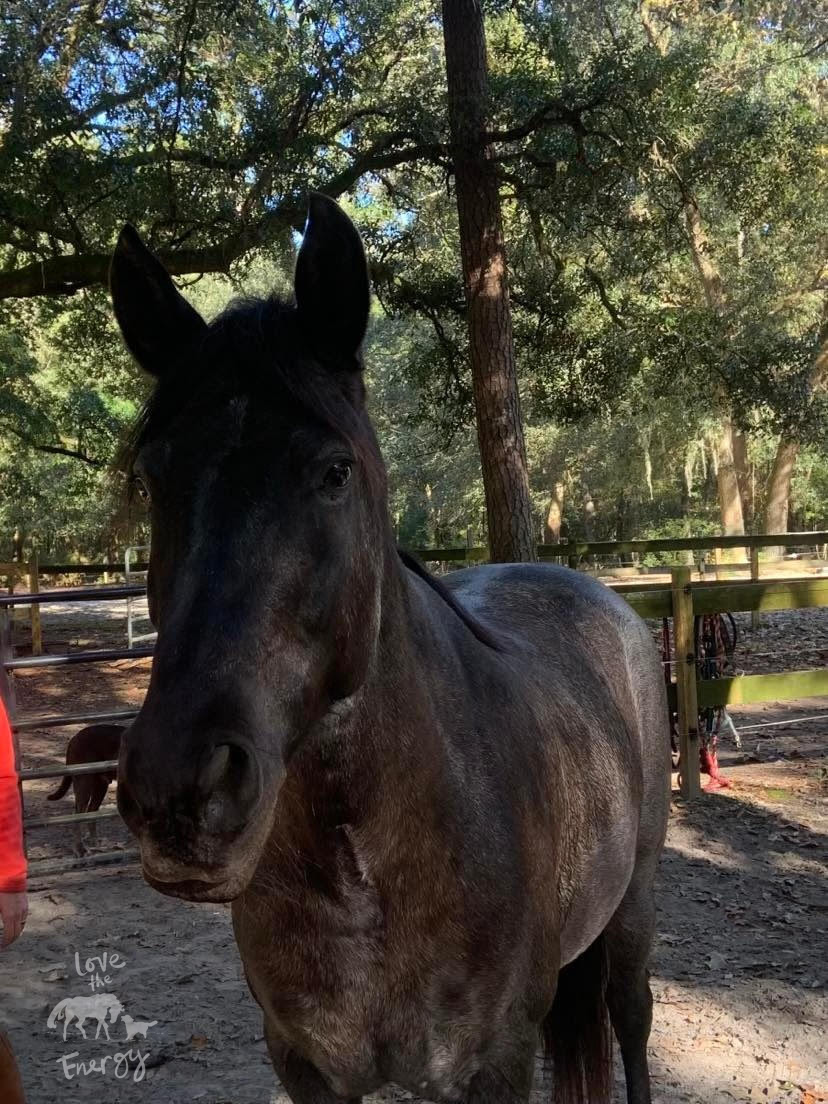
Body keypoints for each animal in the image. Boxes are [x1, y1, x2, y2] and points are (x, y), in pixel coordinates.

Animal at [112, 196, 675, 1104]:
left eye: (335, 472)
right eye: (155, 476)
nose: (177, 788)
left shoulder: (496, 1063)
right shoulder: (304, 1064)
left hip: (632, 914)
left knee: (630, 1024)